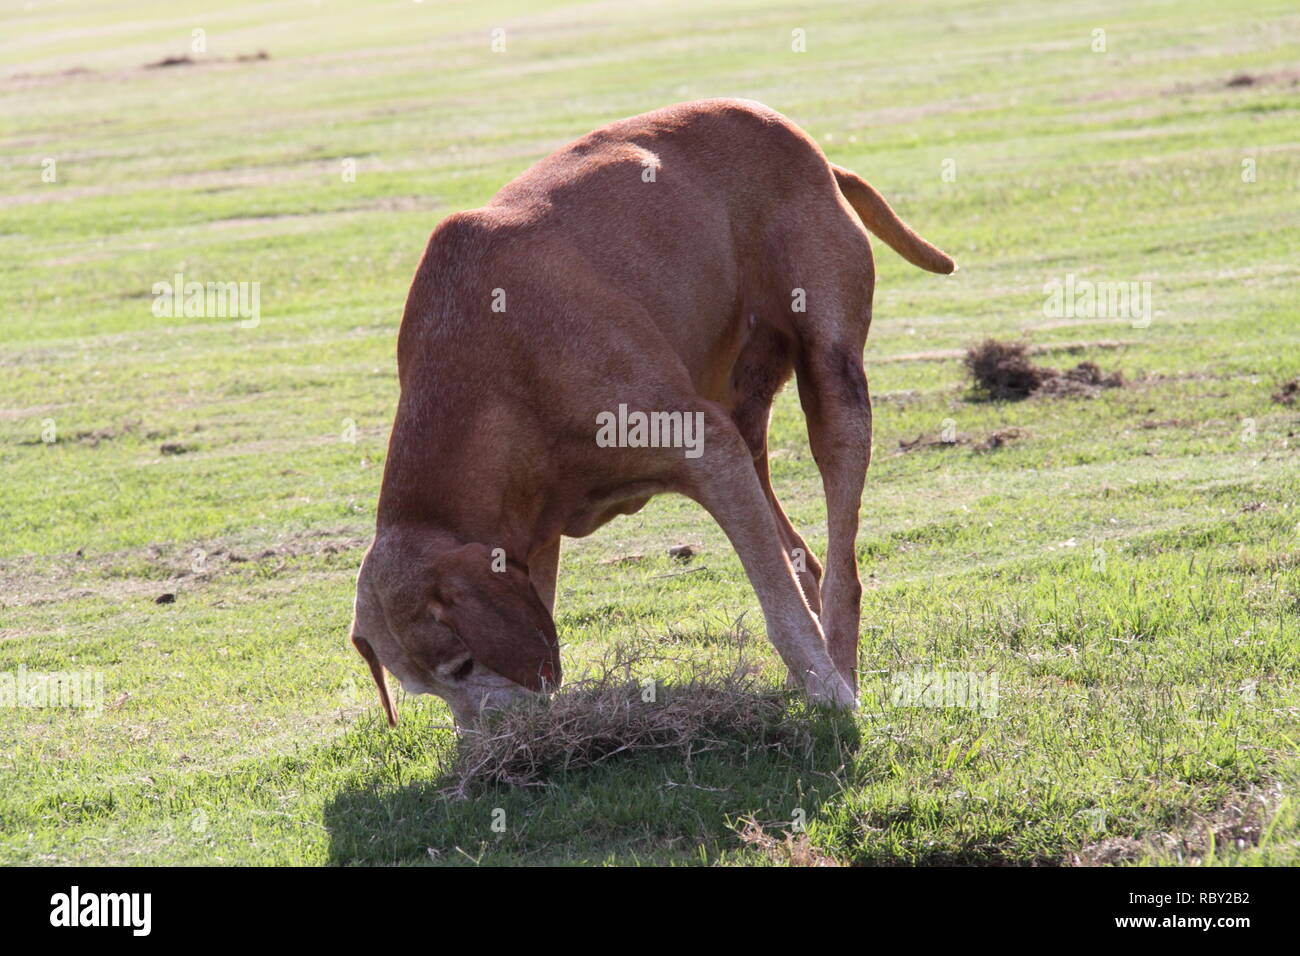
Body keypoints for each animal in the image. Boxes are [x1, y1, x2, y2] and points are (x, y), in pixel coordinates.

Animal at [348, 98, 956, 723]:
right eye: (425, 690)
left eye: (462, 665)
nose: (492, 741)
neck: (495, 378)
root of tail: (817, 155)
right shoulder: (531, 538)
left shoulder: (707, 449)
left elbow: (780, 607)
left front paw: (828, 694)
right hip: (745, 415)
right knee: (801, 555)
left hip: (830, 380)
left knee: (840, 562)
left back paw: (842, 665)